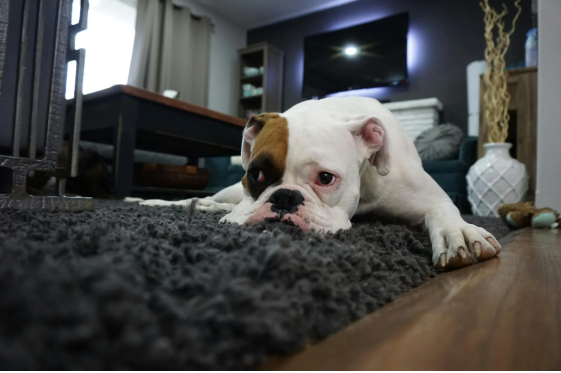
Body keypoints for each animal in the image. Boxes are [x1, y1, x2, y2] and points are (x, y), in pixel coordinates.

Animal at [138, 97, 500, 268]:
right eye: (256, 174)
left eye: (325, 178)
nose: (285, 197)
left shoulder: (432, 198)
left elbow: (443, 212)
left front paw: (459, 234)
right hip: (227, 192)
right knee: (211, 200)